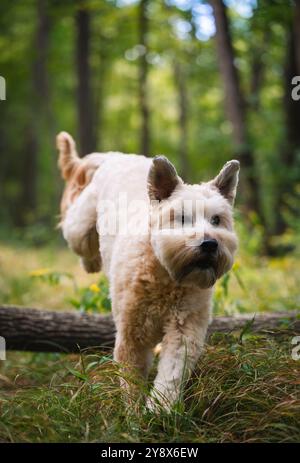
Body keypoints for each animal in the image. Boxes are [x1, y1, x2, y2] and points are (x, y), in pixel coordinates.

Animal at [56, 132, 239, 412]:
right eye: (182, 218)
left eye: (217, 220)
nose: (210, 243)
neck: (167, 277)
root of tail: (115, 156)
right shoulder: (133, 333)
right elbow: (131, 378)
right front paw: (134, 413)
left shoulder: (184, 331)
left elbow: (172, 373)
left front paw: (158, 409)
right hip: (79, 226)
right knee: (79, 240)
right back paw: (92, 262)